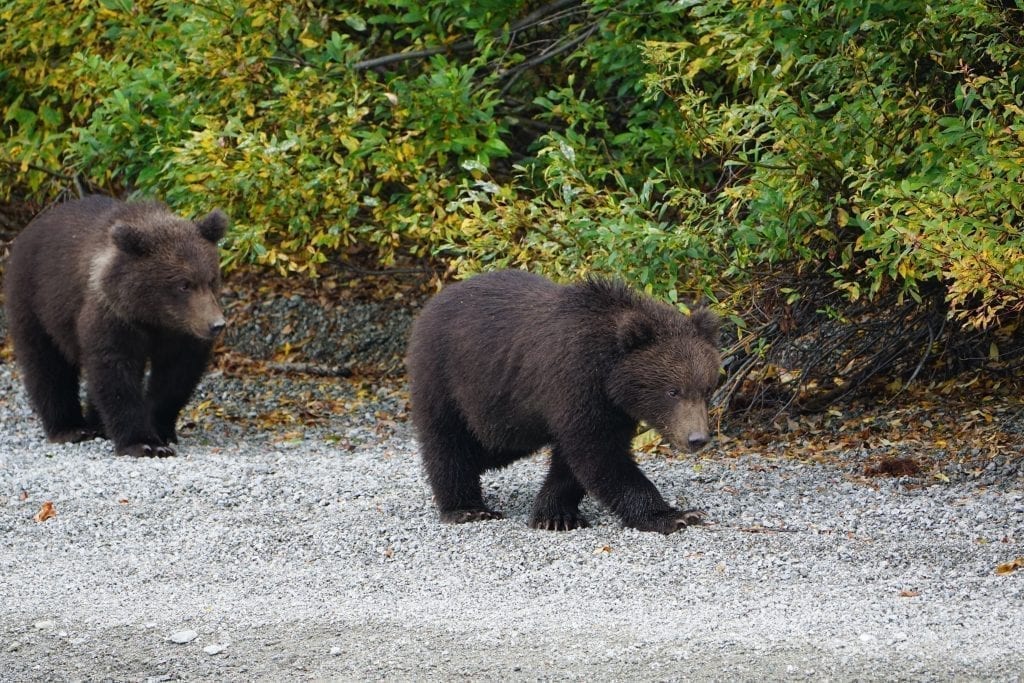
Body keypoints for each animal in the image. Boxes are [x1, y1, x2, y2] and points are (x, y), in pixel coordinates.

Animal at [3, 194, 228, 456]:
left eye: (211, 280)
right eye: (184, 284)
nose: (216, 324)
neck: (152, 315)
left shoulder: (180, 330)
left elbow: (175, 374)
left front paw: (160, 429)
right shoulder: (114, 315)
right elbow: (115, 370)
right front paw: (144, 443)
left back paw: (97, 424)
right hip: (34, 299)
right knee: (46, 364)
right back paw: (69, 428)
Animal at [403, 270, 724, 532]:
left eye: (707, 389)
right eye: (673, 391)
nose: (697, 439)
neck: (608, 373)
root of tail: (434, 301)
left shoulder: (611, 407)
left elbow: (575, 460)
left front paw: (555, 515)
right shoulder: (575, 381)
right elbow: (600, 455)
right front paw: (674, 515)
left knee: (491, 446)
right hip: (445, 376)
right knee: (448, 441)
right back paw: (466, 508)